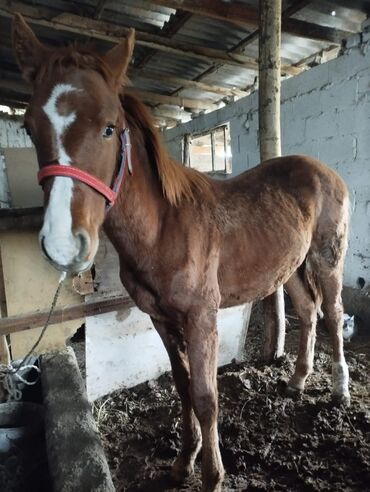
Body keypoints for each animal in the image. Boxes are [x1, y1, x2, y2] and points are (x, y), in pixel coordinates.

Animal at [13, 14, 352, 492]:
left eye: (109, 127)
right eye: (29, 126)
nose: (63, 243)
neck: (165, 229)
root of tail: (324, 171)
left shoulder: (201, 319)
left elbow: (206, 396)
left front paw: (212, 474)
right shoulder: (160, 318)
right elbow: (181, 384)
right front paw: (182, 462)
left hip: (326, 258)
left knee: (334, 314)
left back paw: (339, 389)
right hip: (291, 266)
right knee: (308, 312)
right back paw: (297, 381)